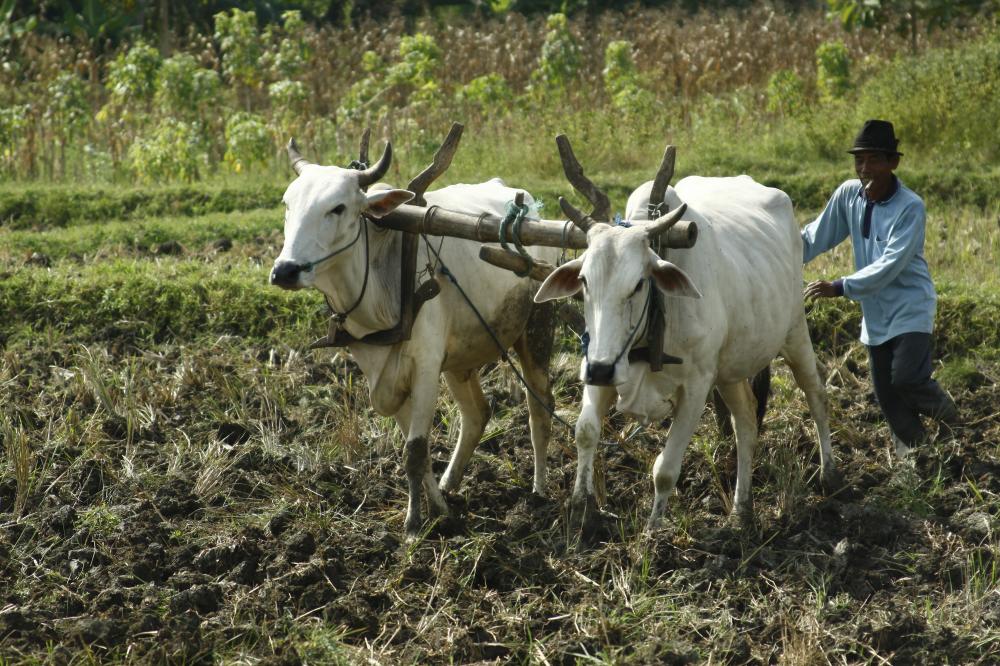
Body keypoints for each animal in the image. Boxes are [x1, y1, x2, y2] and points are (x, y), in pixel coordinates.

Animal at [270, 140, 560, 536]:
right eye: (288, 204)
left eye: (337, 207)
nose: (285, 270)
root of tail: (528, 204)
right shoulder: (382, 372)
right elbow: (414, 451)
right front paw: (439, 509)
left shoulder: (424, 368)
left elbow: (415, 450)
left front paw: (413, 523)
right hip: (459, 360)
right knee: (477, 414)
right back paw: (451, 484)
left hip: (537, 330)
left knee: (539, 411)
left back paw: (540, 491)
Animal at [540, 148, 836, 528]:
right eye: (584, 280)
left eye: (638, 284)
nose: (601, 370)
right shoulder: (599, 363)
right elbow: (586, 431)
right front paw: (581, 509)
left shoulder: (696, 386)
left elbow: (665, 470)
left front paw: (653, 531)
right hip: (730, 369)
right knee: (746, 421)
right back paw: (741, 509)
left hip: (795, 331)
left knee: (816, 392)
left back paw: (829, 473)